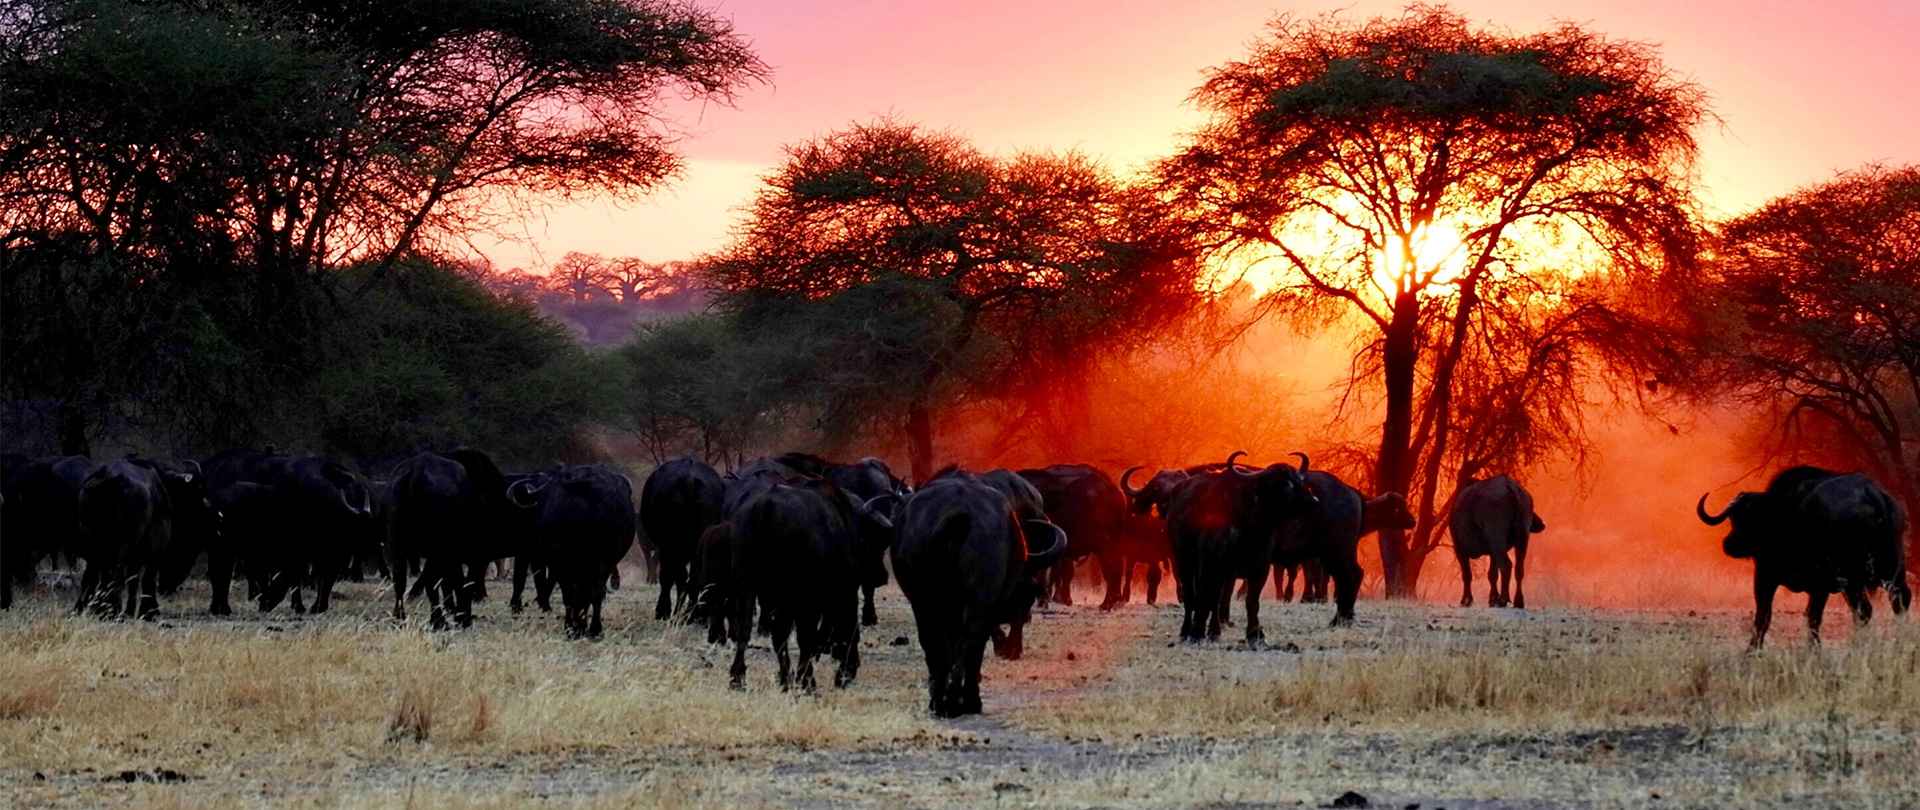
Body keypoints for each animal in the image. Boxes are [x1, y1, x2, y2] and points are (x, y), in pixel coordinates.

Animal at [637, 458, 725, 621]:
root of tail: (690, 480)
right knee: (697, 577)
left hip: (669, 543)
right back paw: (696, 614)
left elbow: (670, 577)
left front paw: (663, 611)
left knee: (676, 576)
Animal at [890, 474, 1075, 714]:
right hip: (969, 600)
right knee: (963, 642)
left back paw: (950, 699)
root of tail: (961, 515)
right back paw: (959, 699)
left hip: (930, 601)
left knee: (948, 643)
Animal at [1451, 474, 1543, 606]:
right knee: (1519, 568)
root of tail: (1511, 487)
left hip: (1496, 538)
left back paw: (1503, 599)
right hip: (1522, 538)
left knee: (1506, 565)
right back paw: (1518, 601)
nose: (1541, 523)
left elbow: (1467, 574)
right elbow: (1492, 574)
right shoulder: (1492, 552)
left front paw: (1466, 600)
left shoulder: (1459, 548)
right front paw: (1492, 598)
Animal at [1704, 468, 1912, 644]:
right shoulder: (1819, 588)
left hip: (1850, 580)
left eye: (1745, 520)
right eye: (1733, 517)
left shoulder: (1767, 576)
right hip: (1893, 571)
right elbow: (1812, 618)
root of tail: (1871, 492)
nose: (1729, 544)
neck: (1778, 515)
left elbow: (1765, 617)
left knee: (1863, 611)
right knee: (1900, 601)